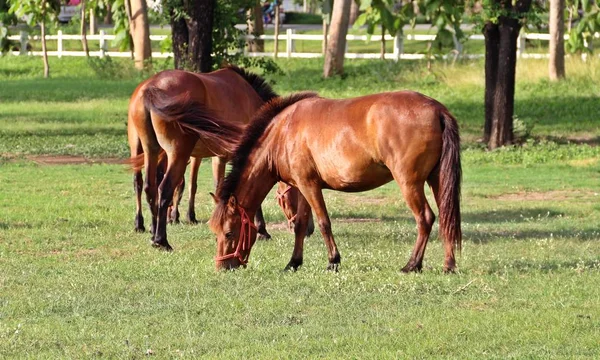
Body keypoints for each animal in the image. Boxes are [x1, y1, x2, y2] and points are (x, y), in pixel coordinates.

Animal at [129, 65, 292, 250]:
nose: (306, 228)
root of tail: (151, 87)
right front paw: (262, 231)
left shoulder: (219, 157)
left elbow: (219, 188)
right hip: (177, 155)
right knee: (164, 189)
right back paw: (161, 240)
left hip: (151, 151)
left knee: (149, 188)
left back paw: (151, 231)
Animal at [209, 90, 462, 272]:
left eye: (229, 233)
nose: (223, 266)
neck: (283, 132)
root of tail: (437, 109)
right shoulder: (302, 187)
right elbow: (301, 225)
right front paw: (293, 262)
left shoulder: (310, 186)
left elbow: (323, 223)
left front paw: (333, 261)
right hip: (437, 181)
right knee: (446, 219)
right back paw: (448, 265)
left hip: (409, 184)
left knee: (425, 219)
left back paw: (412, 265)